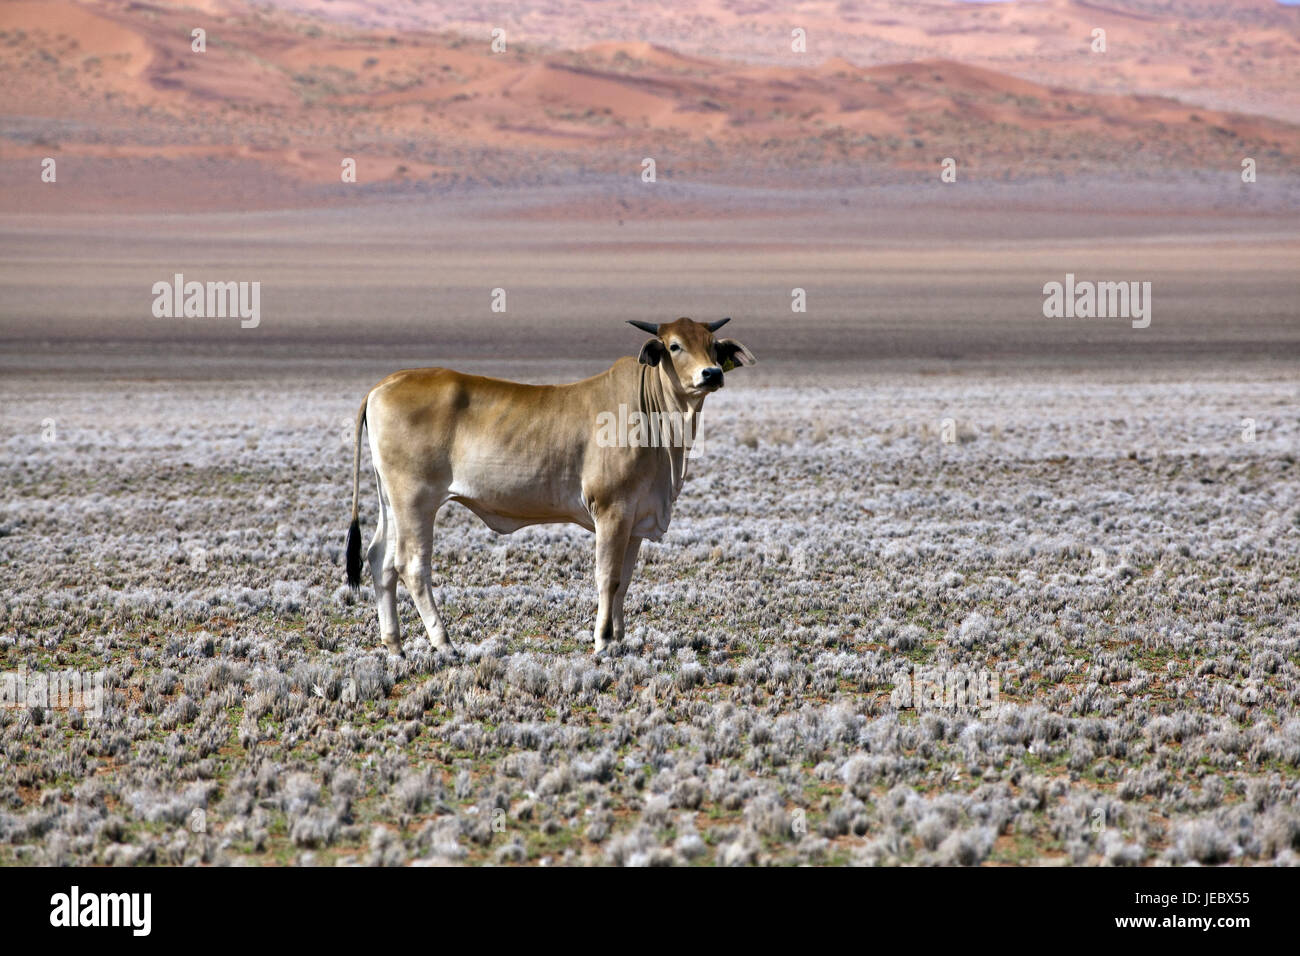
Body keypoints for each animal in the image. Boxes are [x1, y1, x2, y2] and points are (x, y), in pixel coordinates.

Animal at [345, 317, 759, 655]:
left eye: (712, 344)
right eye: (674, 346)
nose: (711, 374)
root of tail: (386, 383)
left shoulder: (636, 520)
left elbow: (624, 581)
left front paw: (619, 639)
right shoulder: (612, 511)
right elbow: (607, 577)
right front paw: (603, 640)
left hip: (392, 502)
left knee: (380, 559)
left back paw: (395, 645)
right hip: (416, 501)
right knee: (411, 565)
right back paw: (444, 643)